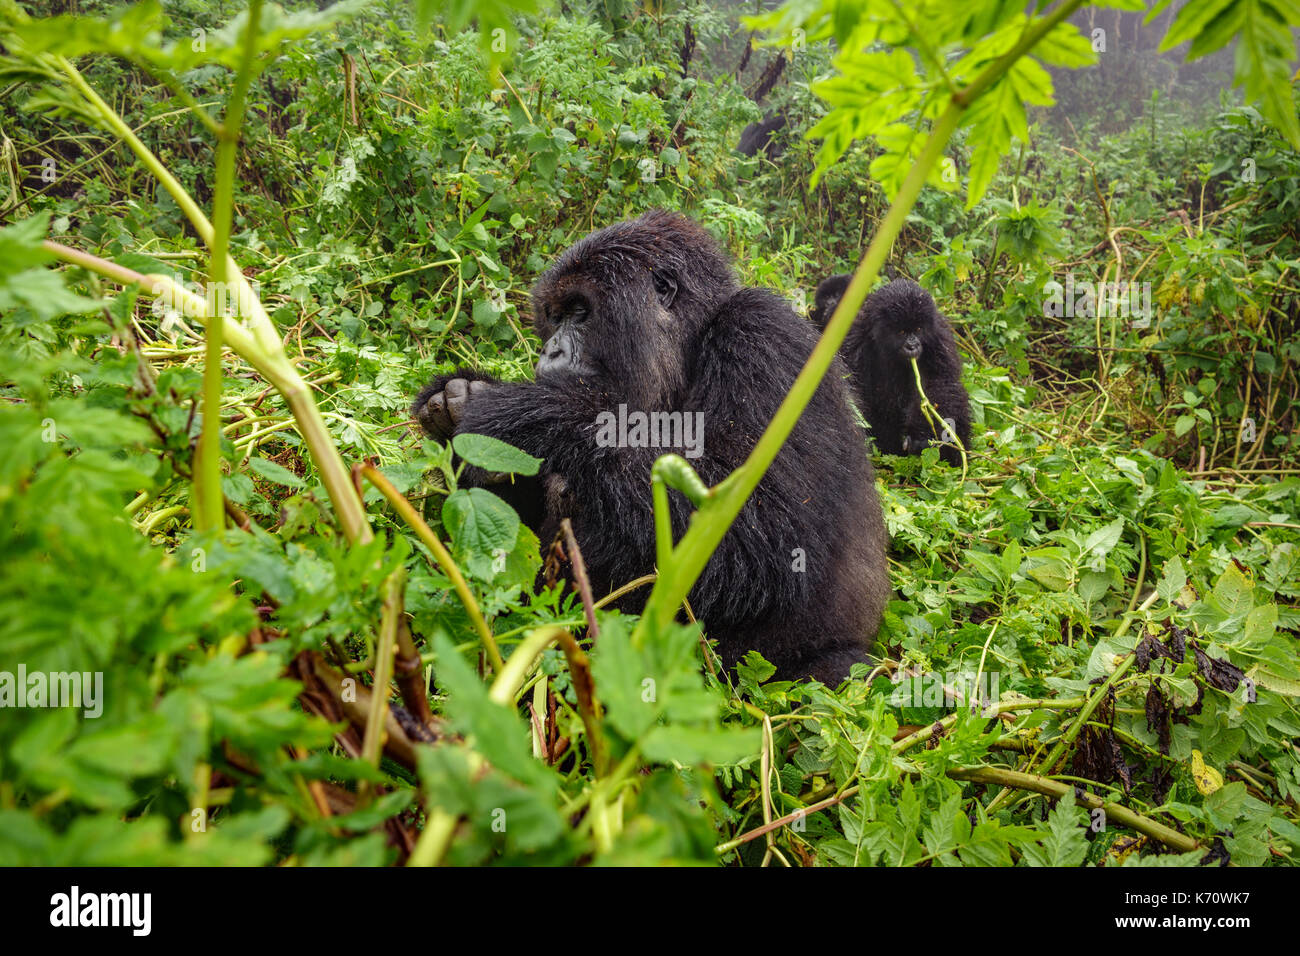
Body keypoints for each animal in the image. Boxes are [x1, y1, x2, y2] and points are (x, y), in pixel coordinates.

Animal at [410, 210, 889, 686]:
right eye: (554, 316)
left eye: (580, 312)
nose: (550, 351)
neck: (692, 347)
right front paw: (457, 407)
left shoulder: (764, 335)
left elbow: (771, 533)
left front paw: (520, 415)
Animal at [806, 274, 972, 468]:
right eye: (901, 332)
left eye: (918, 329)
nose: (912, 345)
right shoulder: (854, 339)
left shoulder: (938, 337)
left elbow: (940, 382)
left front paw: (920, 436)